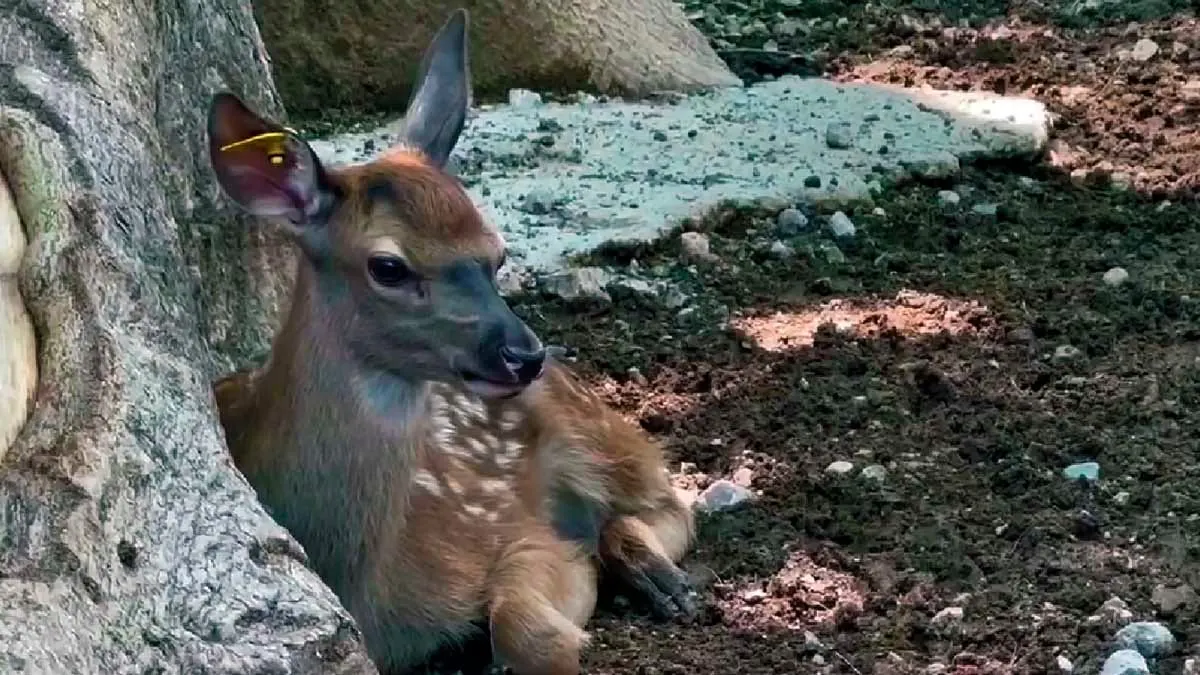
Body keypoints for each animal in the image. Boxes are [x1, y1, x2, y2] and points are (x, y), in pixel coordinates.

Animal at [206, 8, 696, 675]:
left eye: (499, 252)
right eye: (388, 267)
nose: (523, 354)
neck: (361, 584)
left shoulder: (504, 526)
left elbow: (527, 623)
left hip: (593, 430)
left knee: (670, 498)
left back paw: (659, 578)